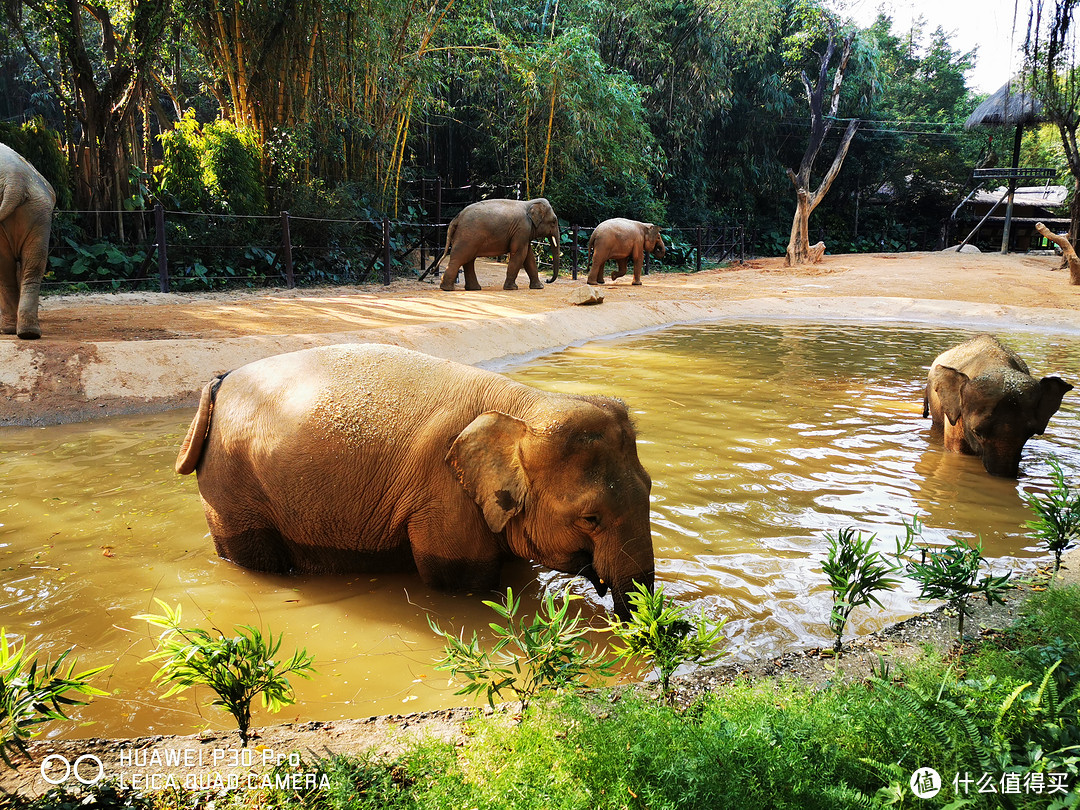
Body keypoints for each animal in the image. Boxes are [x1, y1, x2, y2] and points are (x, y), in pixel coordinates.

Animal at [172, 343, 652, 622]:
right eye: (590, 518)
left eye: (650, 487)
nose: (633, 625)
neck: (522, 405)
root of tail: (219, 382)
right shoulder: (442, 498)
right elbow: (461, 581)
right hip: (232, 489)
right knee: (252, 556)